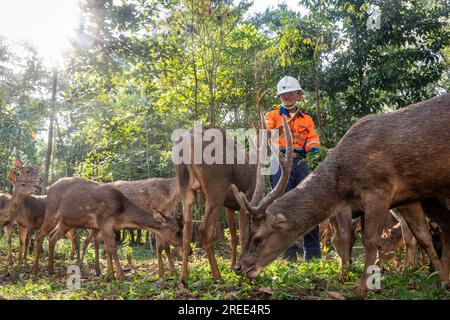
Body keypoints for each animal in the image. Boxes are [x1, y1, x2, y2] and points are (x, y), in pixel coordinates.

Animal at [232, 92, 450, 298]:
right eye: (248, 232)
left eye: (258, 238)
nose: (238, 267)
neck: (342, 183)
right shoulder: (408, 197)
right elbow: (423, 237)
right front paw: (441, 281)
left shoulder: (378, 190)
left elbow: (369, 240)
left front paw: (361, 288)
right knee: (443, 226)